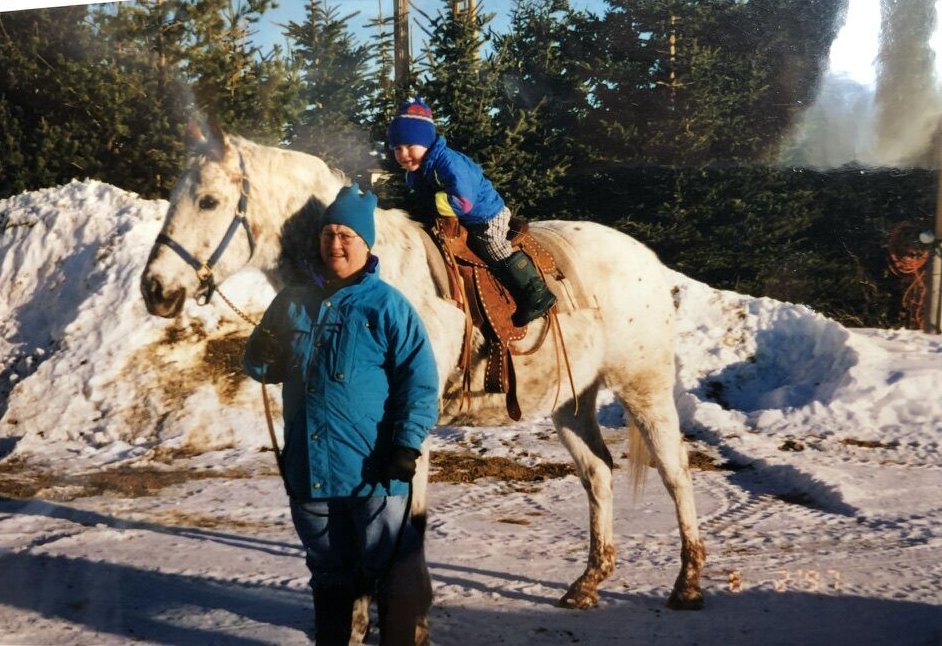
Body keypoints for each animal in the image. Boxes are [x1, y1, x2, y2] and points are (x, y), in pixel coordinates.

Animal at [140, 123, 706, 637]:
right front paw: (358, 623)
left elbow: (403, 533)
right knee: (598, 473)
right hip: (570, 402)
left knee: (675, 472)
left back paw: (688, 584)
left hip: (644, 387)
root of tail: (648, 261)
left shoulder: (405, 438)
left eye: (209, 201)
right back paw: (588, 583)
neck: (373, 276)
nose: (155, 289)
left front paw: (406, 623)